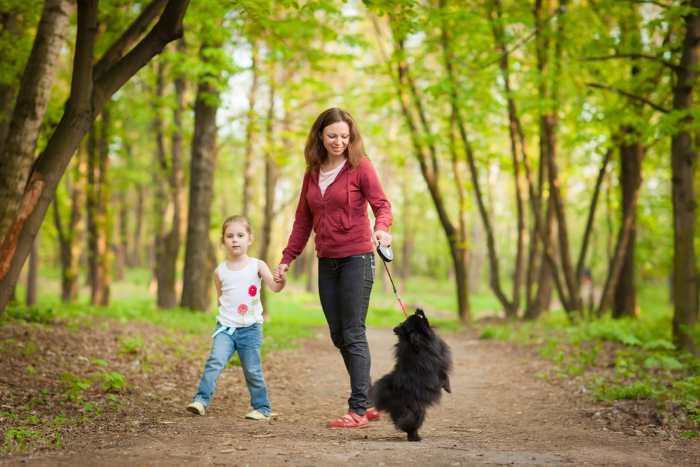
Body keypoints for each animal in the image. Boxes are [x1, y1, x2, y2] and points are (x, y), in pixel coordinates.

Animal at [370, 308, 452, 440]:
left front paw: (448, 388)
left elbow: (444, 376)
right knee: (409, 424)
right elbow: (443, 376)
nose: (396, 328)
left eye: (403, 323)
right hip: (417, 410)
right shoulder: (436, 367)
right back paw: (415, 437)